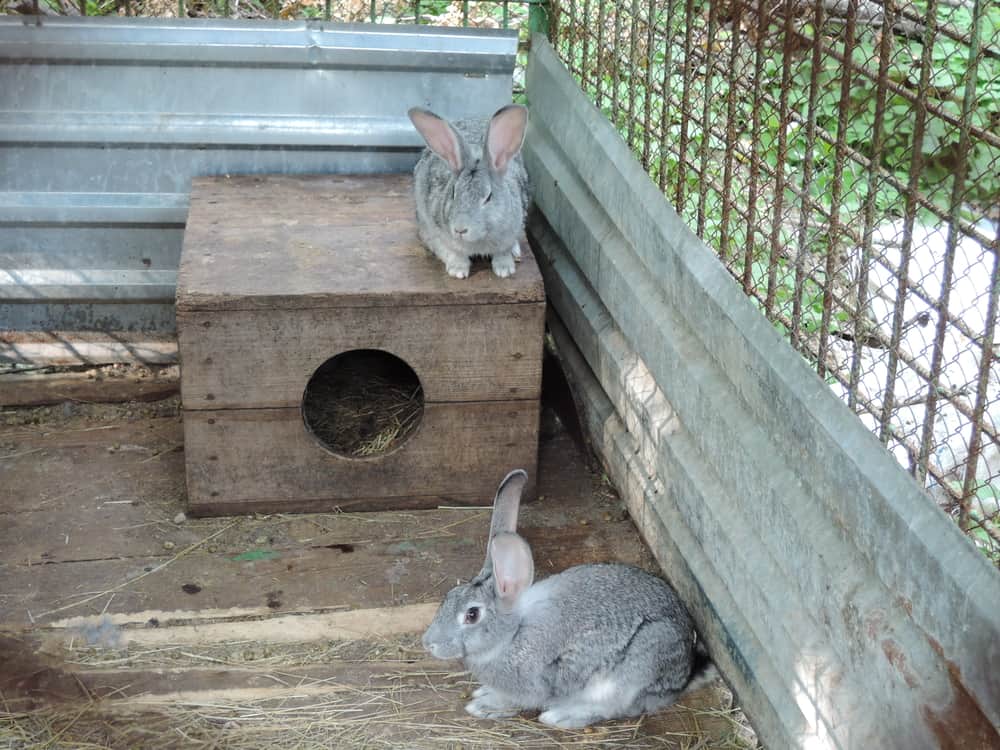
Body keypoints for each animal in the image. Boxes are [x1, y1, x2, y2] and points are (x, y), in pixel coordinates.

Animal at [406, 105, 532, 280]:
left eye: (488, 197)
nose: (460, 230)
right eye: (453, 192)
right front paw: (458, 270)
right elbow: (452, 252)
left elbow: (502, 252)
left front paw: (504, 270)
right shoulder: (439, 233)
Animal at [418, 470, 716, 728]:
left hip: (635, 668)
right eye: (448, 598)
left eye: (472, 615)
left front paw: (485, 706)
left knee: (612, 707)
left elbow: (518, 700)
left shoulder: (537, 683)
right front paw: (484, 695)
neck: (511, 635)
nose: (428, 644)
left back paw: (561, 716)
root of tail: (683, 673)